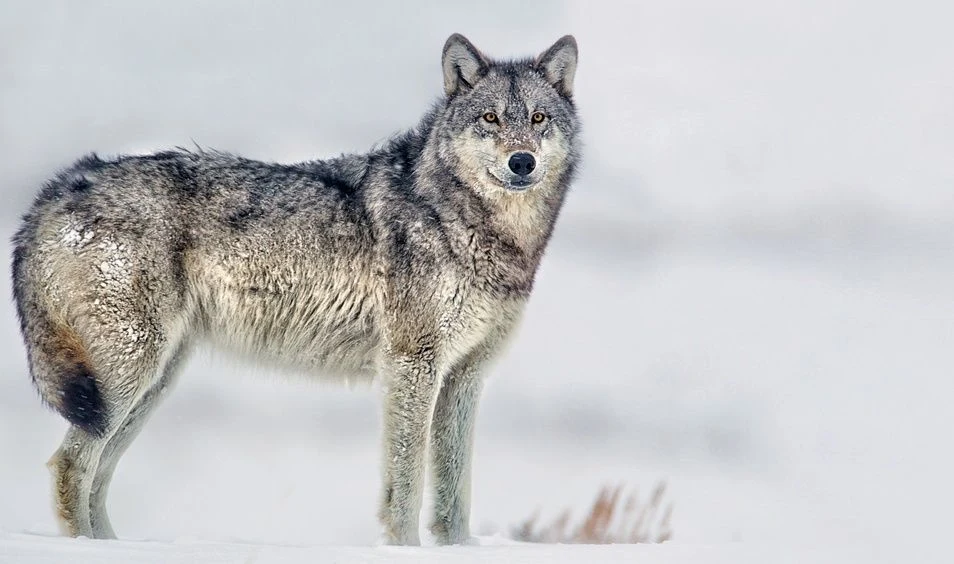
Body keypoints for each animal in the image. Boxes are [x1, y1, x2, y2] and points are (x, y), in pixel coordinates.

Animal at [11, 33, 579, 545]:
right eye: (491, 120)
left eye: (537, 119)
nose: (522, 162)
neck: (470, 224)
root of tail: (58, 187)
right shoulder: (411, 366)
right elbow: (406, 485)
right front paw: (404, 551)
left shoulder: (465, 376)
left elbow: (455, 492)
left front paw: (457, 551)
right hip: (125, 377)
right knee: (71, 466)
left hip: (151, 383)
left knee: (98, 475)